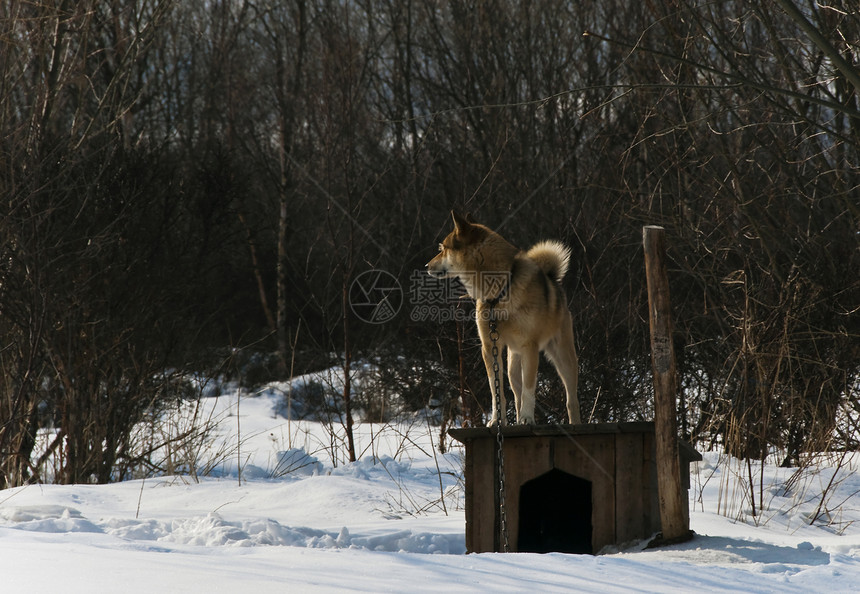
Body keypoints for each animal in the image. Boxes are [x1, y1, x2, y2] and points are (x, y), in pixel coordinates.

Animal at [426, 210, 580, 424]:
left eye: (442, 248)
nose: (426, 265)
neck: (498, 293)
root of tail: (552, 279)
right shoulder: (490, 347)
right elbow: (496, 389)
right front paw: (496, 420)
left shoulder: (530, 347)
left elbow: (529, 389)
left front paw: (528, 418)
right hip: (512, 366)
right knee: (516, 394)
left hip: (563, 359)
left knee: (571, 400)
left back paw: (573, 422)